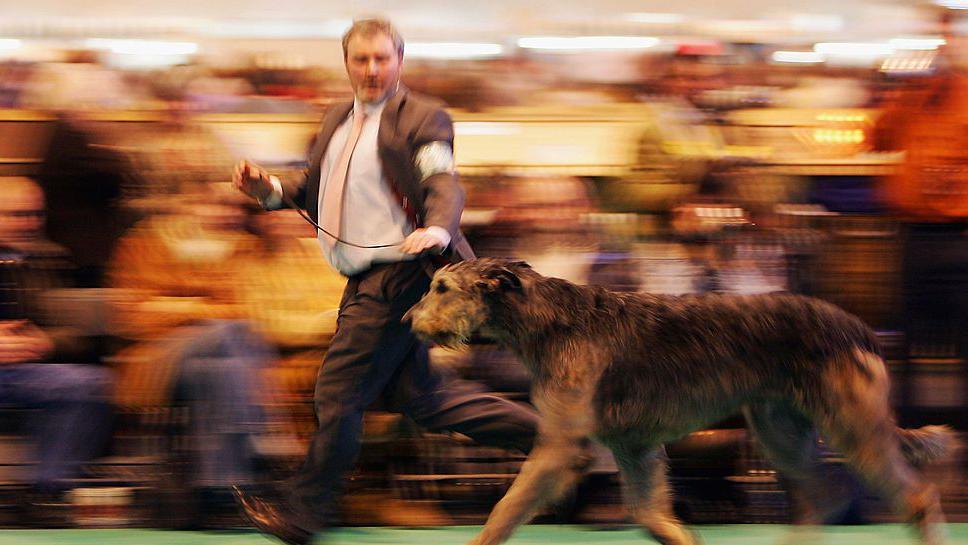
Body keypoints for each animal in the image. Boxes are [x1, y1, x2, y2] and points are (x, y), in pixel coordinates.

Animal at [404, 256, 956, 544]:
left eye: (441, 286)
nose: (407, 320)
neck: (548, 318)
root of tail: (859, 327)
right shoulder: (635, 447)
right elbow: (650, 511)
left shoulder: (562, 447)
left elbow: (506, 508)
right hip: (781, 433)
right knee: (827, 493)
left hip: (853, 429)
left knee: (917, 497)